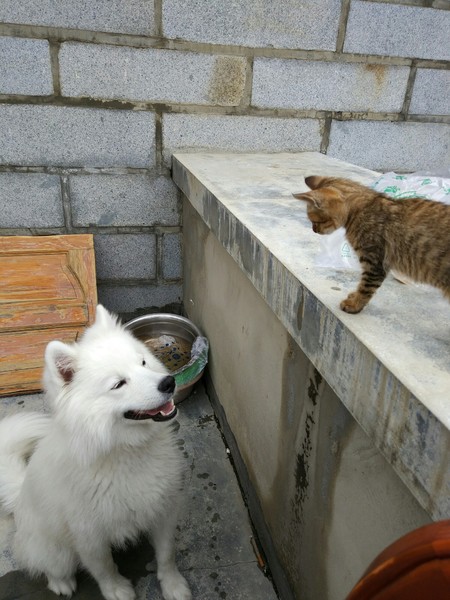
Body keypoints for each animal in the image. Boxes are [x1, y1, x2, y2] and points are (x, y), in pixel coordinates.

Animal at [0, 305, 191, 600]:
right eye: (119, 384)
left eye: (142, 363)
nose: (169, 382)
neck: (125, 451)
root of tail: (18, 494)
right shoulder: (88, 535)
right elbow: (104, 568)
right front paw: (117, 591)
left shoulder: (163, 509)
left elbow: (166, 554)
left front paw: (173, 585)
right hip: (56, 550)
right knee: (47, 566)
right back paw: (61, 583)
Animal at [293, 175, 450, 314]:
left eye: (315, 221)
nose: (314, 230)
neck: (364, 207)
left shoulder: (374, 263)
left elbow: (365, 287)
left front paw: (354, 304)